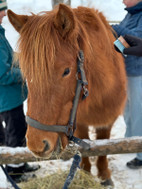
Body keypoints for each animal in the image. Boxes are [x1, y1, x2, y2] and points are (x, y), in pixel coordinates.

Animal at [7, 3, 126, 187]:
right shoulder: (80, 122)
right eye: (26, 72)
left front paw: (104, 175)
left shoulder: (108, 120)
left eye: (66, 71)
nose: (37, 144)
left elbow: (103, 146)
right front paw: (85, 171)